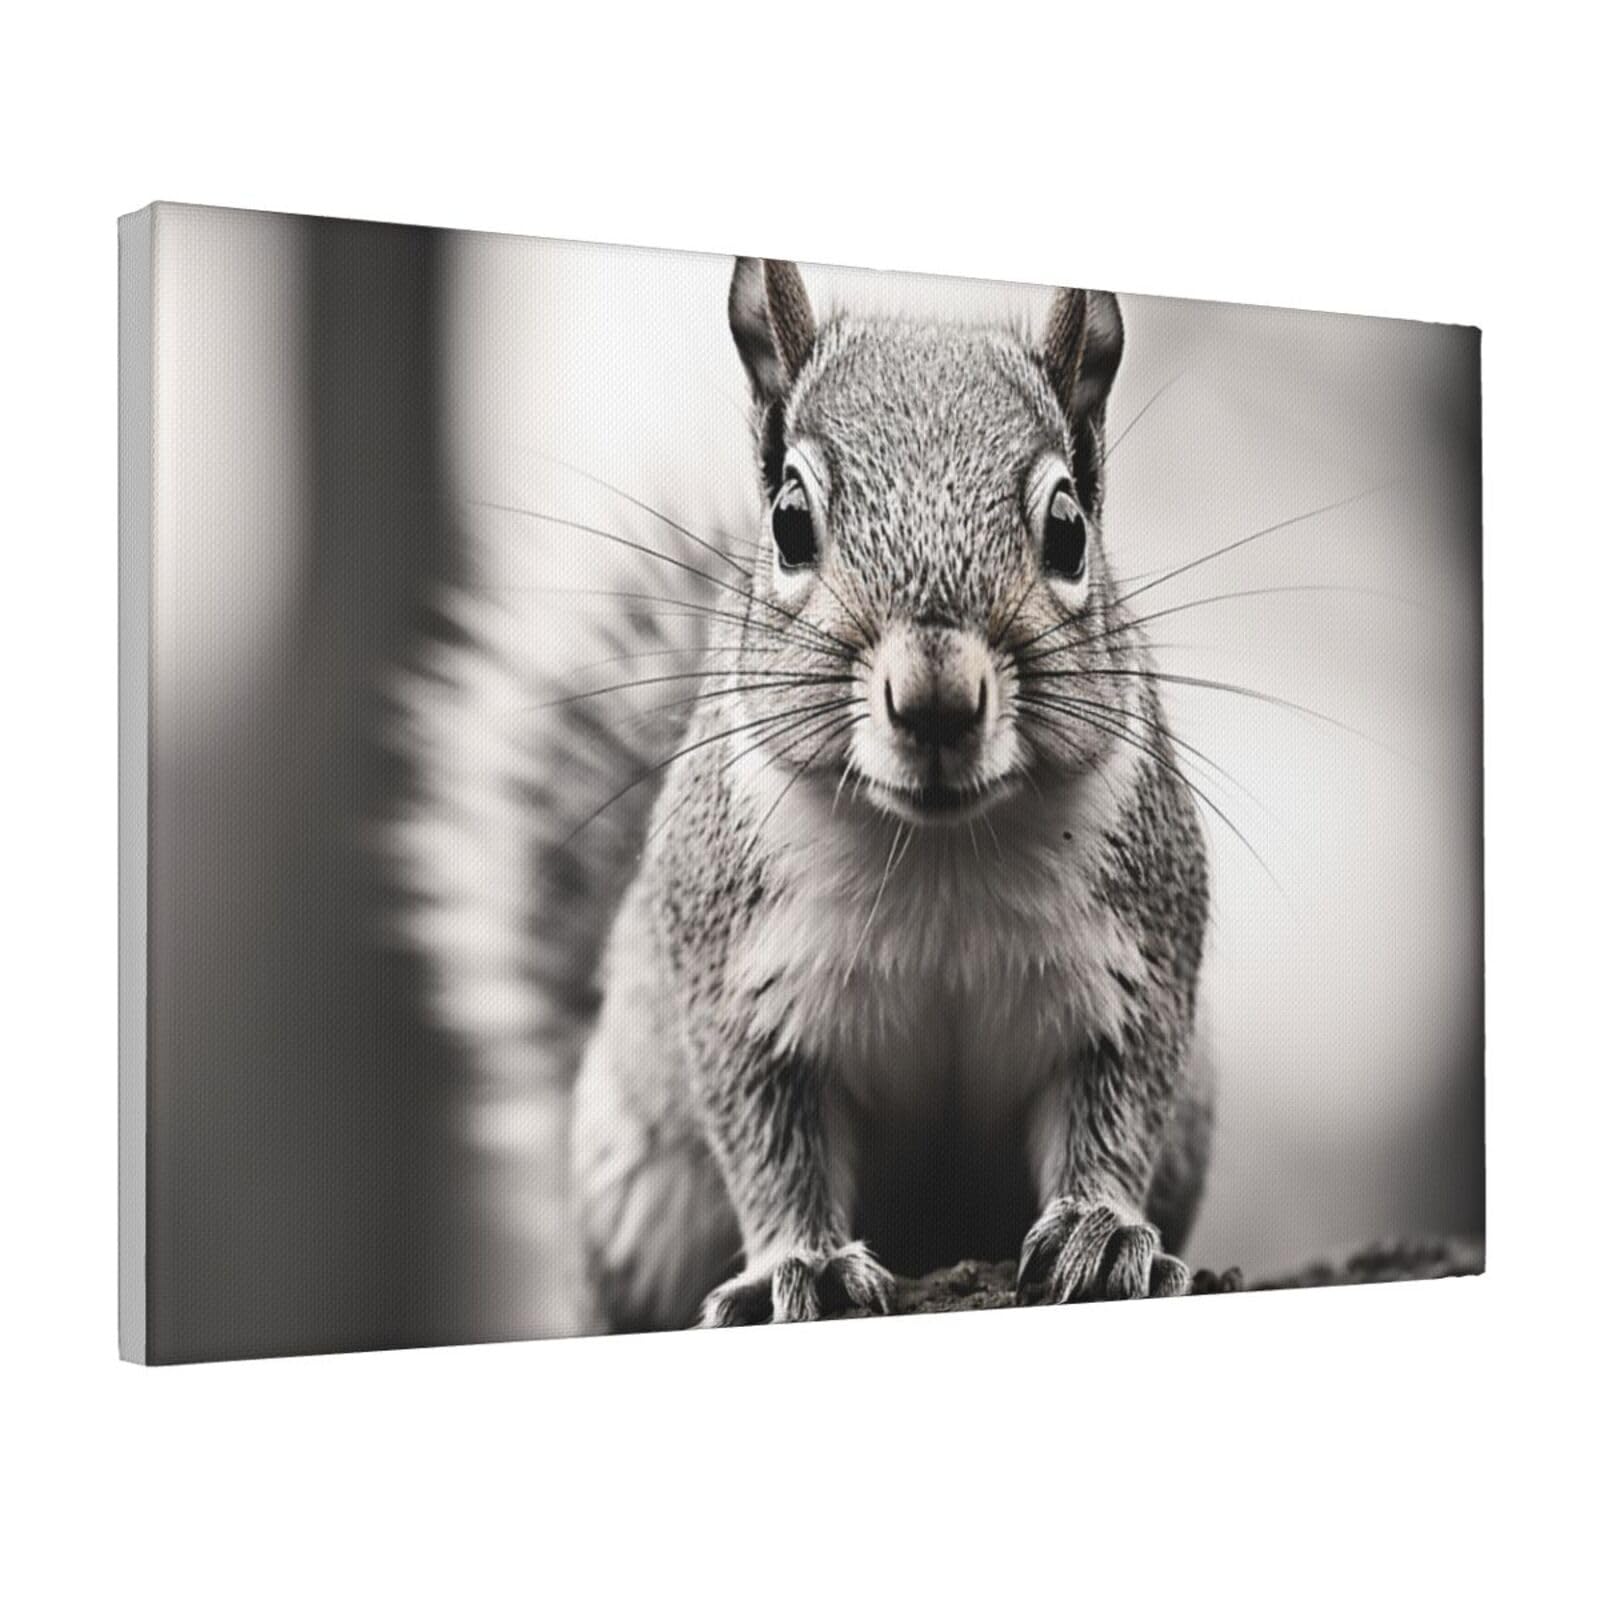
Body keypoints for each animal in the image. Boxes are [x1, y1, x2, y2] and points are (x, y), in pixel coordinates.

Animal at [396, 255, 1214, 1332]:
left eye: (1068, 528)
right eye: (789, 523)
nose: (937, 700)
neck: (937, 851)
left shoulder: (1136, 964)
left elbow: (1118, 1109)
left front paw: (1102, 1229)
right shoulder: (736, 986)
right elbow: (770, 1145)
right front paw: (808, 1264)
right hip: (637, 1183)